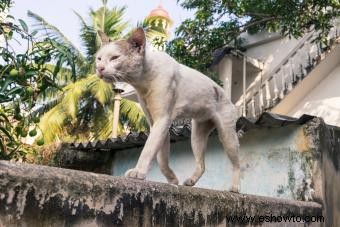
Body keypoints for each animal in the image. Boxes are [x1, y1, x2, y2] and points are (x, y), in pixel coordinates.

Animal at [94, 27, 240, 192]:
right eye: (99, 58)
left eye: (114, 57)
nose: (99, 68)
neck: (143, 80)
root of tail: (226, 96)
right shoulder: (156, 124)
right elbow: (161, 158)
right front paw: (172, 180)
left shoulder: (162, 120)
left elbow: (148, 149)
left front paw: (138, 172)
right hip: (196, 136)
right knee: (201, 165)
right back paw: (191, 181)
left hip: (227, 136)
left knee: (238, 163)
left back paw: (235, 187)